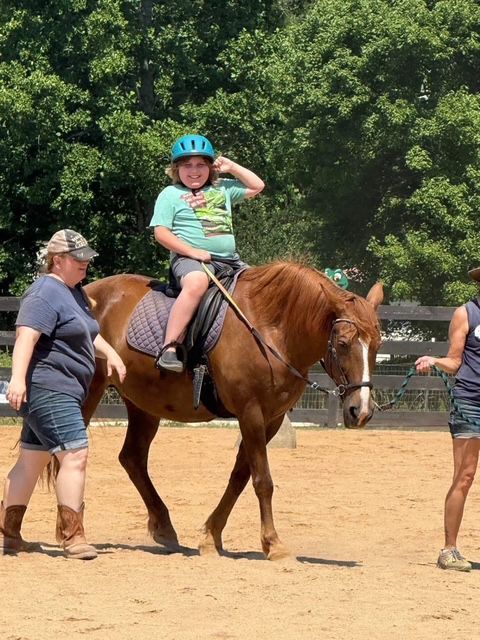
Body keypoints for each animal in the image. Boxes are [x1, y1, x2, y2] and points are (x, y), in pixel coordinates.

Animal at [83, 261, 383, 560]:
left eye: (377, 345)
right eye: (343, 344)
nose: (361, 410)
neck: (271, 330)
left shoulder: (272, 419)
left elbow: (240, 477)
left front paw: (211, 536)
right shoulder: (250, 412)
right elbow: (262, 480)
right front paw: (273, 543)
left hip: (143, 404)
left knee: (132, 458)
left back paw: (165, 528)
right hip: (90, 392)